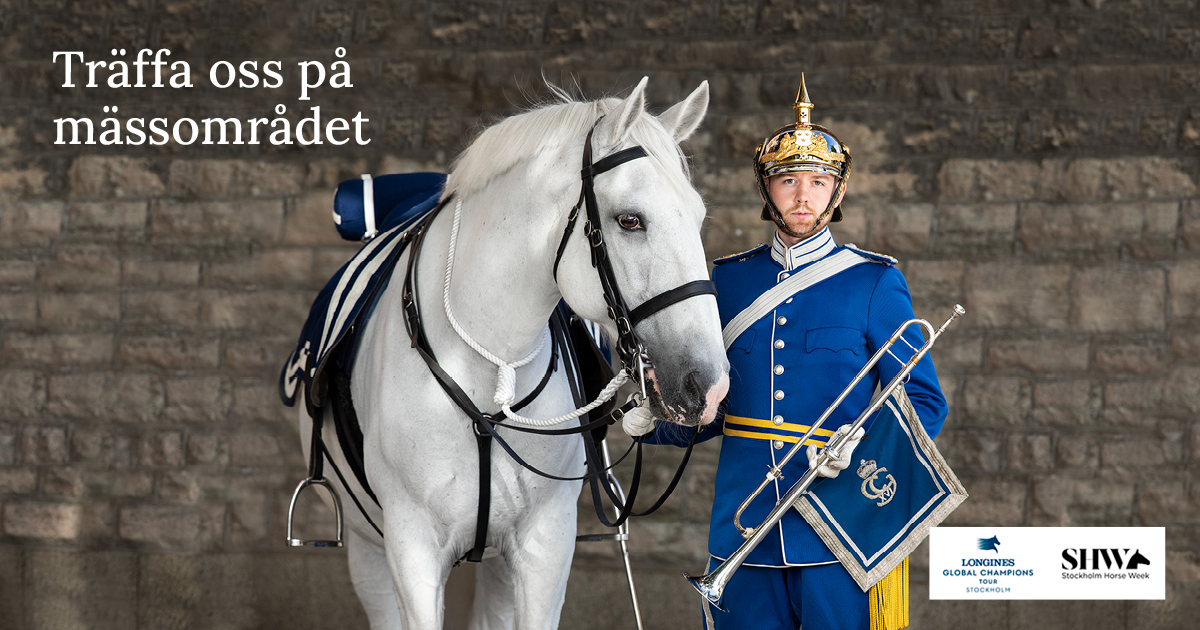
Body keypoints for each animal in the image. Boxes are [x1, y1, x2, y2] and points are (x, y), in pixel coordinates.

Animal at [296, 77, 730, 629]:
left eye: (698, 217)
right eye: (630, 220)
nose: (709, 384)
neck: (487, 366)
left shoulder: (543, 545)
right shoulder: (410, 549)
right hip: (368, 550)